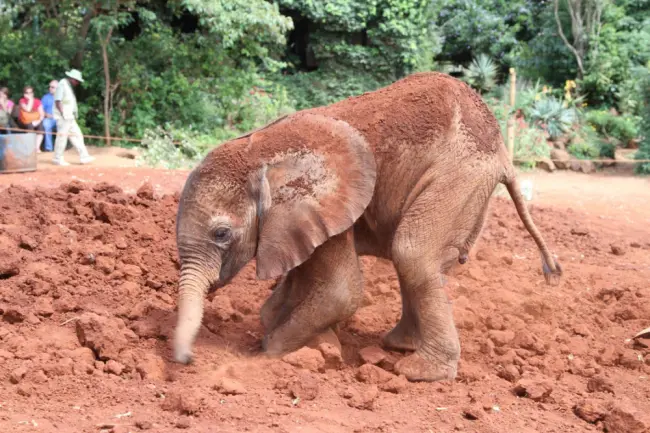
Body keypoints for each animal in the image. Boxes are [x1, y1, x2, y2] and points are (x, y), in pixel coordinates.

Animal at [173, 71, 560, 382]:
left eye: (221, 234)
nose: (186, 360)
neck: (260, 151)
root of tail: (503, 152)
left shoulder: (329, 203)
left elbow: (340, 291)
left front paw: (270, 351)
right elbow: (304, 274)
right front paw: (314, 340)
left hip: (458, 178)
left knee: (411, 251)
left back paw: (418, 372)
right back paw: (398, 345)